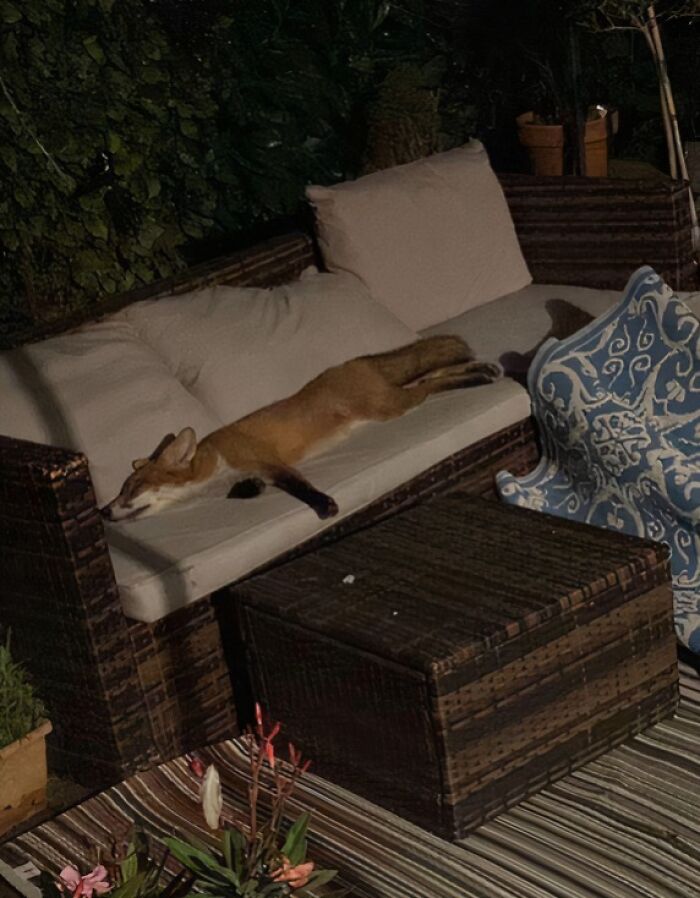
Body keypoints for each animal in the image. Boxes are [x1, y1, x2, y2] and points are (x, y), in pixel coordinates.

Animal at [100, 335, 501, 523]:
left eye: (131, 489)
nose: (103, 512)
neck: (212, 469)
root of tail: (352, 362)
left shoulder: (266, 461)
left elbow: (300, 486)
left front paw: (325, 505)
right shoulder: (252, 476)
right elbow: (249, 490)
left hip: (392, 407)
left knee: (433, 384)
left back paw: (478, 376)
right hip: (396, 399)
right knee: (435, 376)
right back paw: (483, 370)